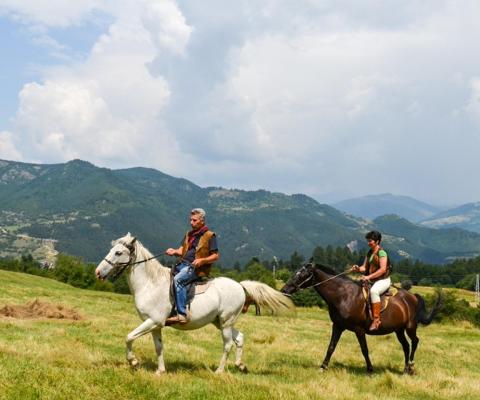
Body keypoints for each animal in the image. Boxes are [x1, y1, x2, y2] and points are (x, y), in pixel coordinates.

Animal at [95, 233, 294, 374]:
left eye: (118, 252)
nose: (98, 272)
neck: (151, 284)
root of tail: (239, 285)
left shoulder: (153, 321)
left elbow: (128, 337)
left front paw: (134, 362)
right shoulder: (155, 325)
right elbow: (159, 347)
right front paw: (160, 371)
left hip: (226, 322)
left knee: (228, 344)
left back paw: (219, 371)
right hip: (219, 322)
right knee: (240, 338)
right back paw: (240, 365)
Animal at [282, 264, 442, 374]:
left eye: (302, 275)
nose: (284, 290)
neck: (344, 296)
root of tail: (412, 296)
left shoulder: (359, 330)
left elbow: (364, 349)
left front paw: (370, 369)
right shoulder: (337, 326)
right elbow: (331, 347)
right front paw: (323, 367)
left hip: (410, 327)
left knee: (415, 342)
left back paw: (411, 367)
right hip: (399, 330)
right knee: (406, 346)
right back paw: (404, 369)